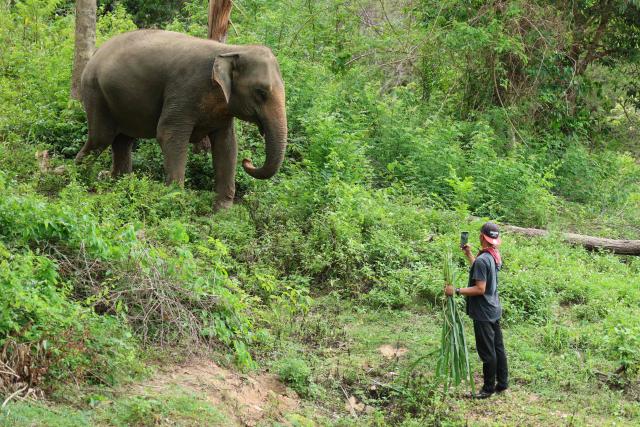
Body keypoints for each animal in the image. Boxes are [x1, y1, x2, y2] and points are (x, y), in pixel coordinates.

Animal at [75, 29, 287, 210]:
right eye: (261, 92)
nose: (248, 161)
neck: (231, 50)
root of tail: (96, 53)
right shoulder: (185, 89)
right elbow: (169, 134)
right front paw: (175, 199)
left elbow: (227, 145)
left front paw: (222, 211)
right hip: (95, 92)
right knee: (101, 137)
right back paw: (79, 178)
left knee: (123, 140)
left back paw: (117, 181)